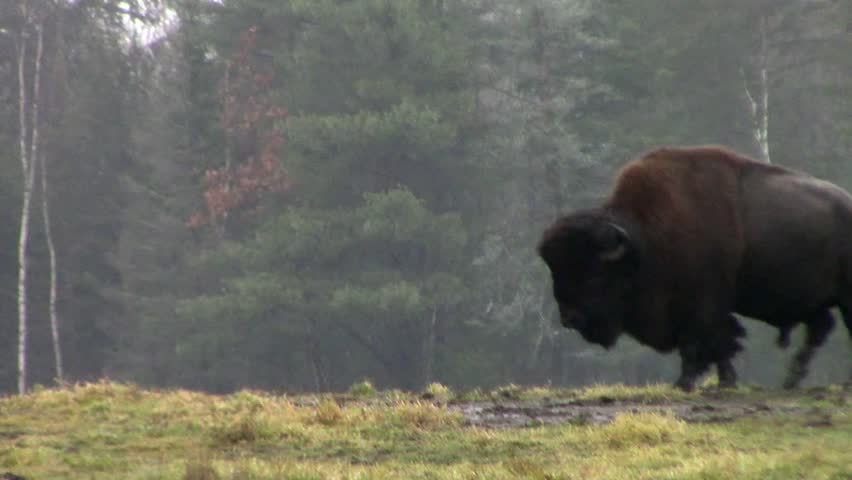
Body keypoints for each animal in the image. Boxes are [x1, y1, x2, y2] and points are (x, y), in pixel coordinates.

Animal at [538, 146, 852, 391]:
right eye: (555, 272)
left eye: (594, 274)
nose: (569, 318)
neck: (643, 240)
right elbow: (717, 345)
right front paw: (724, 382)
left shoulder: (700, 306)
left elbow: (702, 343)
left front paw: (686, 383)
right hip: (815, 302)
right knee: (819, 329)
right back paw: (791, 381)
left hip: (843, 298)